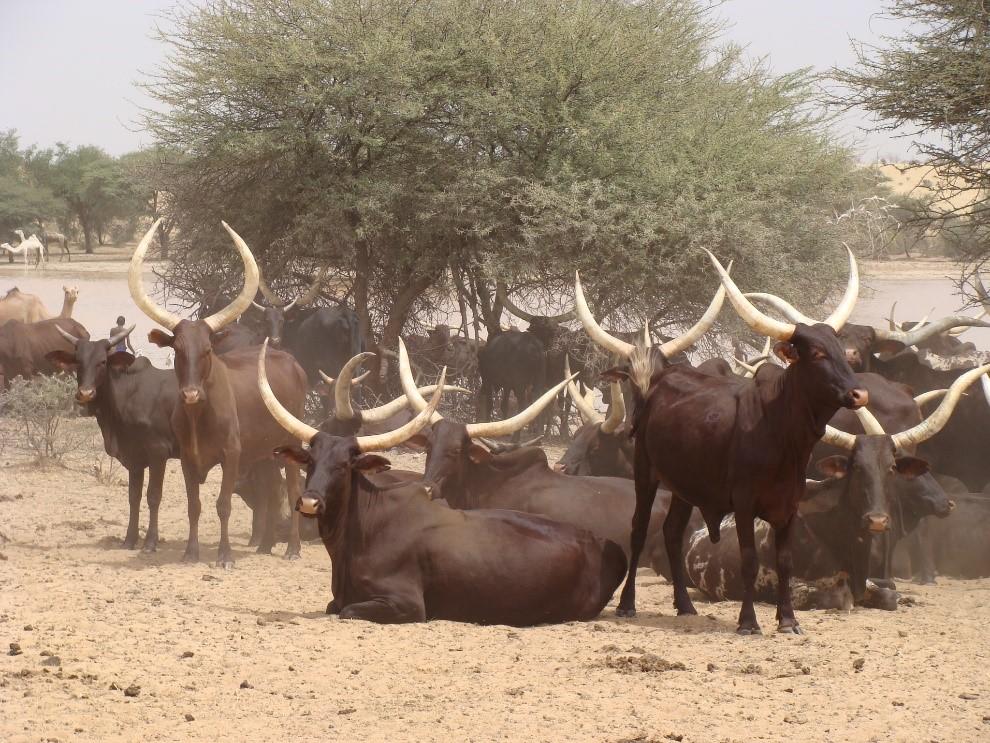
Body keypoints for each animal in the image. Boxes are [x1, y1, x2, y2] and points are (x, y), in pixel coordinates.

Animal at [130, 218, 306, 568]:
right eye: (178, 349)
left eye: (208, 349)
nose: (191, 394)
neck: (200, 415)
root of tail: (290, 361)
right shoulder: (187, 458)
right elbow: (194, 506)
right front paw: (190, 552)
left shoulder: (232, 455)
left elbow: (223, 504)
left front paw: (224, 556)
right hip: (267, 452)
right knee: (271, 490)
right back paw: (265, 545)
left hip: (291, 444)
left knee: (292, 491)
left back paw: (292, 548)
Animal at [260, 344, 624, 628]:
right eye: (310, 461)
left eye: (344, 466)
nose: (310, 502)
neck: (365, 529)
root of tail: (600, 542)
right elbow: (333, 606)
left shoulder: (405, 603)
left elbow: (346, 611)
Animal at [576, 250, 872, 632]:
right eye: (818, 354)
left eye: (841, 349)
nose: (860, 393)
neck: (779, 431)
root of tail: (658, 377)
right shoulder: (744, 504)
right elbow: (749, 561)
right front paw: (749, 622)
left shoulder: (789, 506)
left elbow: (785, 562)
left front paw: (788, 620)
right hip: (646, 472)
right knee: (639, 530)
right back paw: (627, 605)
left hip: (684, 487)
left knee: (672, 533)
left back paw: (685, 605)